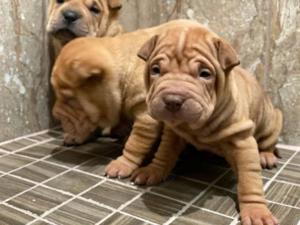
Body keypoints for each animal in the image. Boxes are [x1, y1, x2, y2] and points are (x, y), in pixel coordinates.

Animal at [51, 20, 202, 180]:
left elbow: (134, 144)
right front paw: (76, 136)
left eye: (69, 98)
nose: (55, 114)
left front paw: (122, 164)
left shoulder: (146, 117)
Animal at [136, 26, 282, 225]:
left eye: (205, 74)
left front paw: (256, 210)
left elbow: (249, 179)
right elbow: (164, 153)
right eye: (155, 70)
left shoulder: (243, 143)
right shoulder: (173, 133)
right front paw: (153, 170)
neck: (199, 124)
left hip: (271, 121)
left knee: (268, 141)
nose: (173, 100)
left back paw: (266, 155)